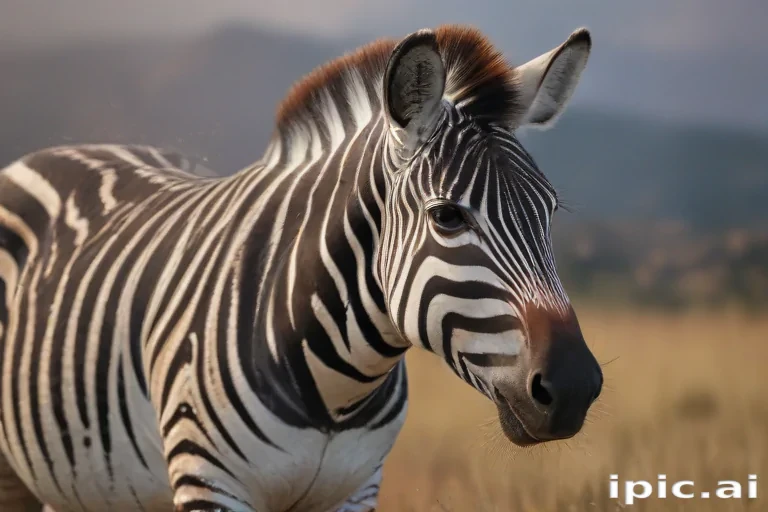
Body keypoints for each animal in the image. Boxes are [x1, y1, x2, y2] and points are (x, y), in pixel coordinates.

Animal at [0, 25, 603, 512]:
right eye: (447, 216)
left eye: (549, 212)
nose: (575, 386)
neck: (337, 387)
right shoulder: (207, 480)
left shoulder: (355, 490)